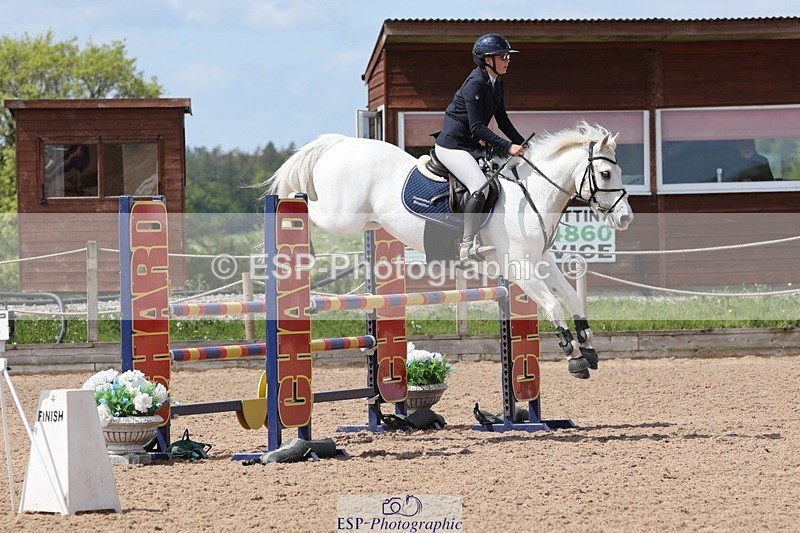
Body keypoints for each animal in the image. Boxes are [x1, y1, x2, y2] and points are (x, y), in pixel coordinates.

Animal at [262, 122, 633, 379]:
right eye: (605, 173)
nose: (625, 218)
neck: (532, 198)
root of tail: (341, 144)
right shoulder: (520, 269)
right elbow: (555, 306)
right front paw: (574, 357)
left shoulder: (541, 262)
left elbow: (572, 299)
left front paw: (589, 347)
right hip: (340, 217)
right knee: (304, 204)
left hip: (364, 219)